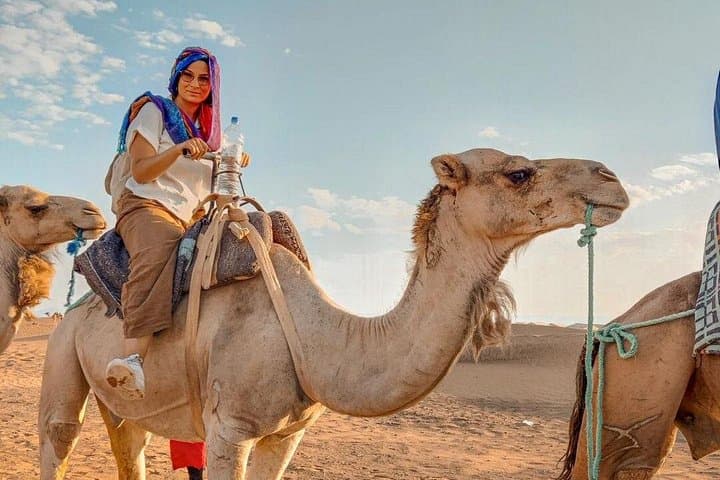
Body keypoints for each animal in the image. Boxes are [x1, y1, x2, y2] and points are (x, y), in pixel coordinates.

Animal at [39, 148, 629, 479]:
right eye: (519, 173)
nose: (611, 179)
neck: (317, 335)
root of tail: (77, 305)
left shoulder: (285, 436)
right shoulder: (230, 429)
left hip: (123, 404)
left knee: (128, 443)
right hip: (63, 348)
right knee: (60, 435)